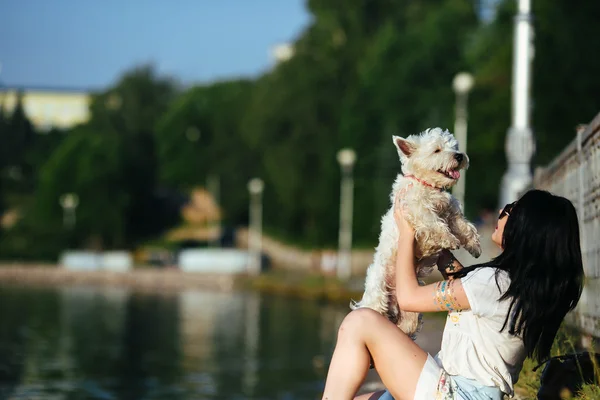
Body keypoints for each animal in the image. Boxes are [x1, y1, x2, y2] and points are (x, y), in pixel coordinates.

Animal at [352, 128, 482, 338]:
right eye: (437, 150)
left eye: (454, 147)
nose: (459, 156)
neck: (430, 186)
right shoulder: (416, 208)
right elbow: (434, 223)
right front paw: (449, 239)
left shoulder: (450, 211)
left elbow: (464, 226)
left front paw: (474, 246)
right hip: (378, 294)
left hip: (411, 316)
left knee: (407, 327)